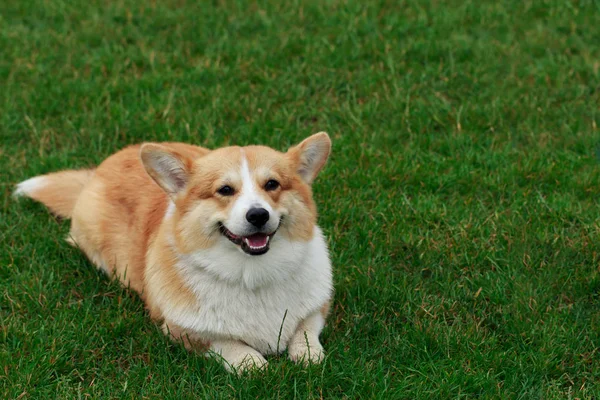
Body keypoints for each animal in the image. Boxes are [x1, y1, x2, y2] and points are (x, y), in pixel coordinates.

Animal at [15, 133, 332, 374]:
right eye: (225, 190)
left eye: (272, 184)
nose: (258, 215)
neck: (252, 275)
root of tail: (99, 169)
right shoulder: (182, 331)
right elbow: (228, 345)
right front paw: (252, 362)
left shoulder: (318, 307)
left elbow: (307, 330)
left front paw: (308, 354)